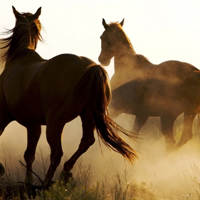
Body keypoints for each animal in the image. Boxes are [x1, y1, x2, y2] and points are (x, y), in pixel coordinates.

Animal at [0, 7, 138, 188]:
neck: (20, 59)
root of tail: (91, 68)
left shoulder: (13, 119)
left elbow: (27, 153)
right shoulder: (33, 124)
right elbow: (29, 154)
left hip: (55, 123)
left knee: (57, 153)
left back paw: (47, 182)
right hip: (86, 116)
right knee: (85, 141)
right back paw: (65, 172)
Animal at [98, 18, 200, 152]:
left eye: (102, 37)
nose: (102, 59)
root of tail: (194, 73)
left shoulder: (116, 108)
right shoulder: (142, 114)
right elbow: (134, 134)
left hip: (168, 117)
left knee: (171, 142)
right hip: (189, 112)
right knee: (184, 137)